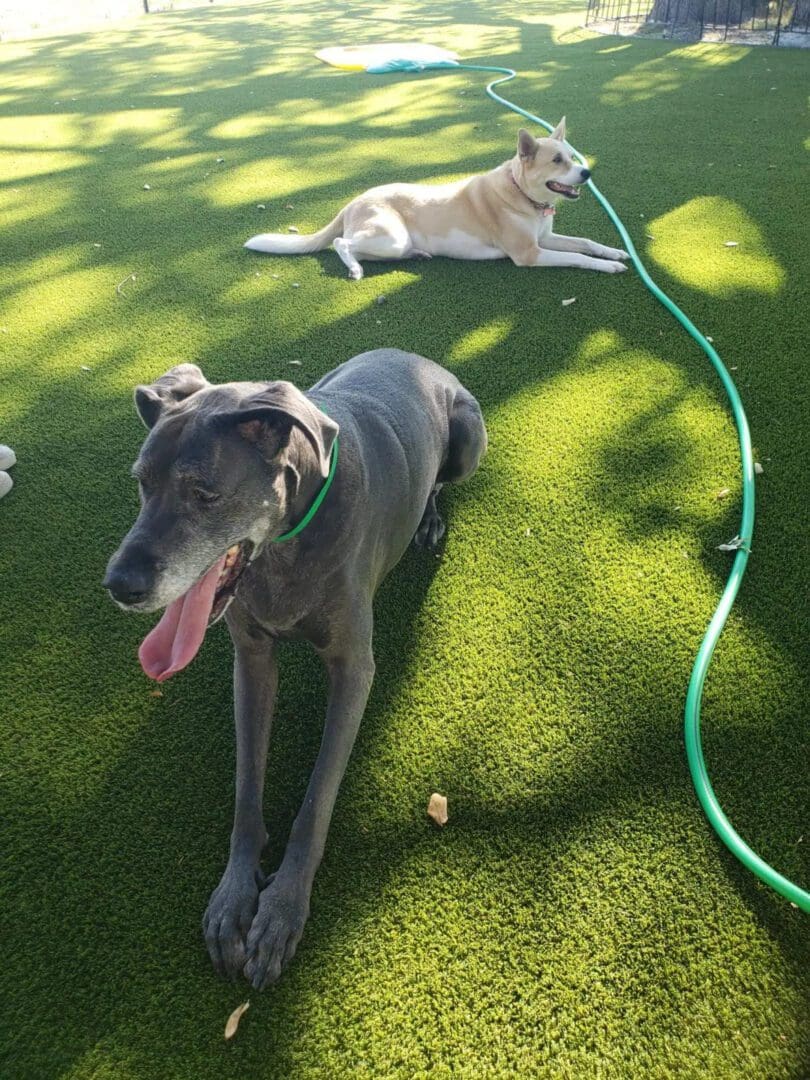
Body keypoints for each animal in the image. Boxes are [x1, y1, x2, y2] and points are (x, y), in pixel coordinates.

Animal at [244, 120, 630, 280]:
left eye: (572, 156)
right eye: (557, 160)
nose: (587, 173)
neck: (521, 194)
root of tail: (353, 201)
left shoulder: (544, 238)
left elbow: (585, 243)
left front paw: (614, 252)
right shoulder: (529, 254)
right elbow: (577, 258)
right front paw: (607, 267)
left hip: (392, 244)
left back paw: (412, 255)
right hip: (390, 235)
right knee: (342, 243)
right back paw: (354, 268)